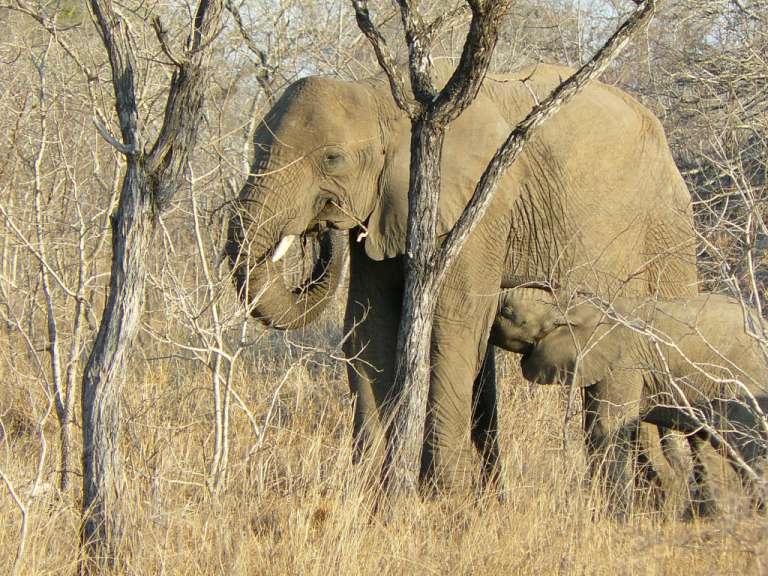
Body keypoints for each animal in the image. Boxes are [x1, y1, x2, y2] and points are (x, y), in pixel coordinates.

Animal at [225, 62, 698, 492]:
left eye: (332, 159)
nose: (323, 228)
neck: (383, 96)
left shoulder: (476, 207)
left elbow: (454, 324)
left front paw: (441, 499)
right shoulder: (385, 208)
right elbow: (368, 328)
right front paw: (367, 495)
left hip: (668, 232)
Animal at [491, 285, 768, 512]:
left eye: (506, 311)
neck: (577, 305)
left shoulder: (622, 364)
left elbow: (604, 428)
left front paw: (613, 517)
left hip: (741, 377)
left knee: (744, 440)